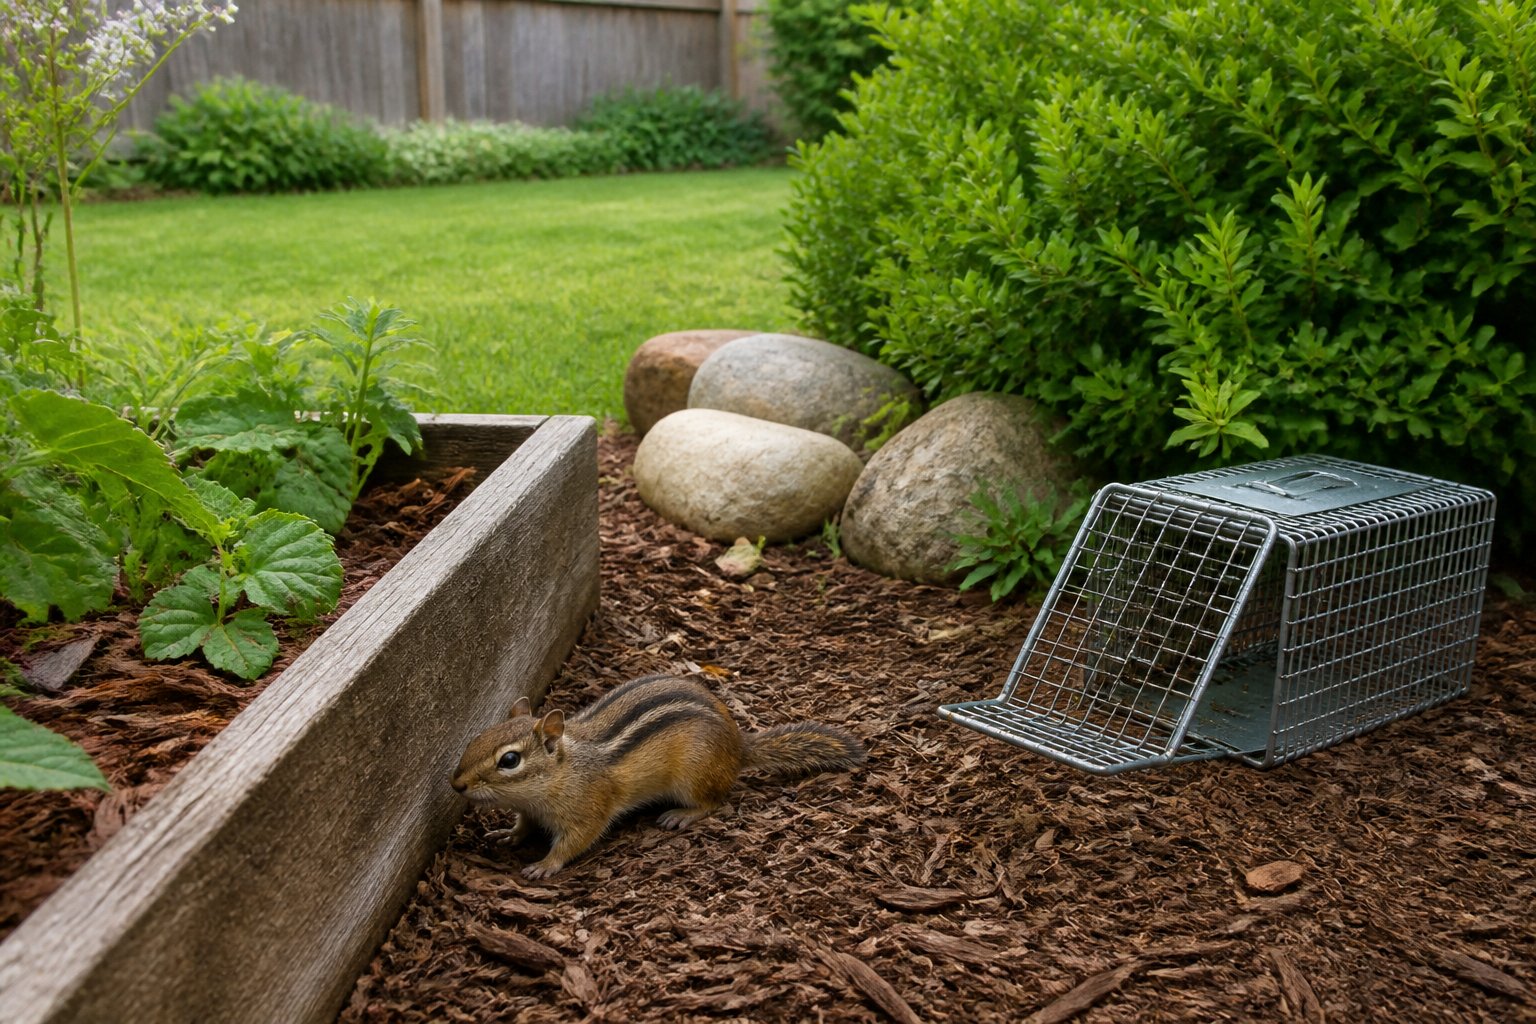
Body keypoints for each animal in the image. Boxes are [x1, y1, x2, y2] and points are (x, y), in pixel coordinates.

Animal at [450, 673, 866, 878]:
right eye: (476, 738)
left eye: (509, 760)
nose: (457, 785)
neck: (562, 772)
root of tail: (739, 747)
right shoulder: (529, 809)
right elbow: (523, 825)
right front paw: (509, 834)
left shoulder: (588, 810)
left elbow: (574, 842)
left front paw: (545, 864)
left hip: (695, 774)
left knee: (714, 801)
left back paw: (682, 815)